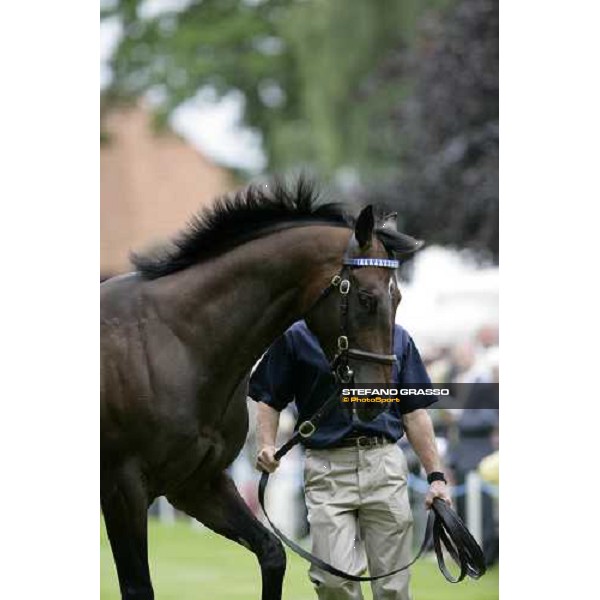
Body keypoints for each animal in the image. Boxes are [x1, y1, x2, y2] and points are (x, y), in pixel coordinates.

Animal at [101, 178, 422, 600]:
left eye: (398, 297)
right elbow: (139, 587)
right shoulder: (123, 490)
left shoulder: (197, 484)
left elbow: (272, 553)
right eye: (367, 299)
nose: (378, 399)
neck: (176, 341)